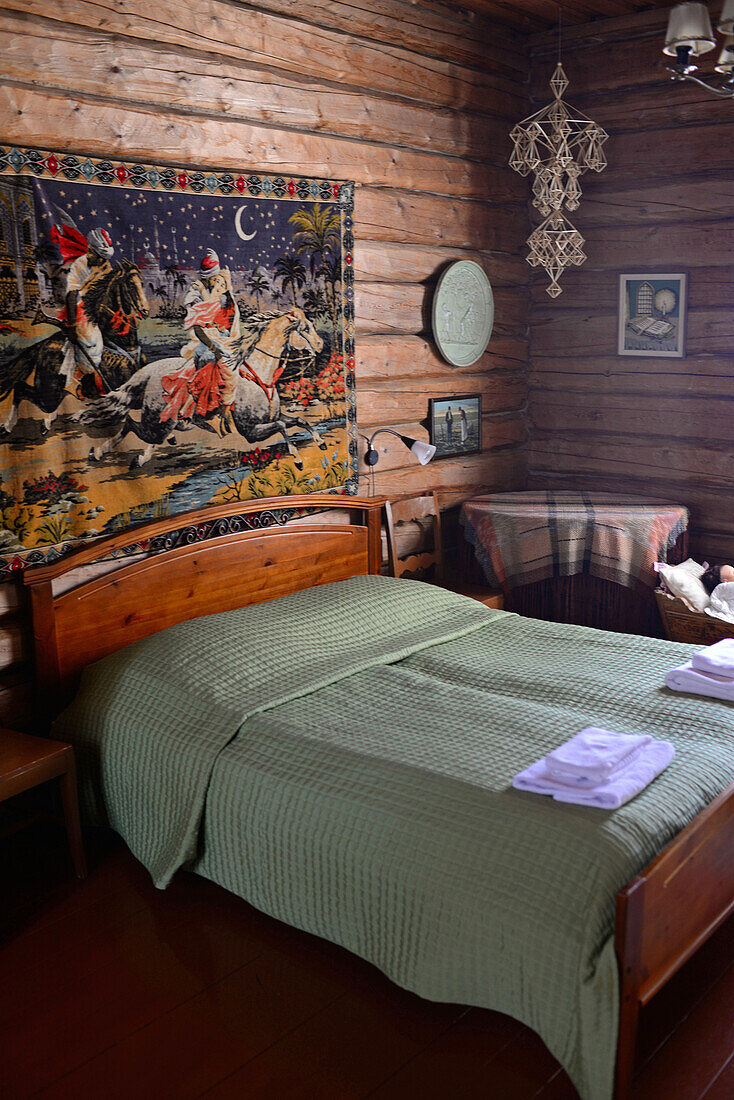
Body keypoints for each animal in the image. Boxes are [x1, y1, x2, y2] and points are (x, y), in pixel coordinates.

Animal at [0, 262, 149, 437]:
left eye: (142, 283)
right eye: (131, 285)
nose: (145, 310)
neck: (123, 344)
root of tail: (43, 344)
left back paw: (50, 421)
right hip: (48, 391)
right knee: (20, 388)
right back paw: (9, 426)